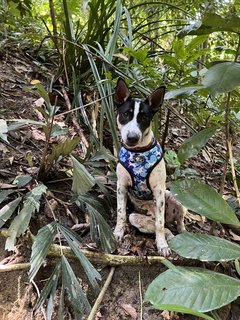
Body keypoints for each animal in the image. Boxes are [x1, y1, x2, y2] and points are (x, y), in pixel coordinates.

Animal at [113, 79, 187, 256]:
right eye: (126, 114)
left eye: (144, 117)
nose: (132, 138)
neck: (138, 153)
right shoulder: (121, 186)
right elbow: (121, 213)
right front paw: (118, 231)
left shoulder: (159, 190)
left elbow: (159, 224)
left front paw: (161, 245)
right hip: (136, 217)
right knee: (163, 227)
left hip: (174, 197)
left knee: (170, 222)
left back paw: (182, 233)